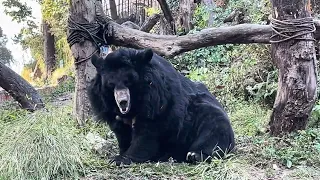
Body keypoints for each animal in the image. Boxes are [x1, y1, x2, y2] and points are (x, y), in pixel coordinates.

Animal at [87, 47, 235, 165]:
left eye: (128, 82)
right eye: (111, 85)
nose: (123, 102)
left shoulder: (157, 99)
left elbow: (148, 131)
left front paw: (122, 158)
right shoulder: (107, 106)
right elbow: (121, 130)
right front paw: (122, 151)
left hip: (203, 115)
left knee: (213, 129)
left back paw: (194, 155)